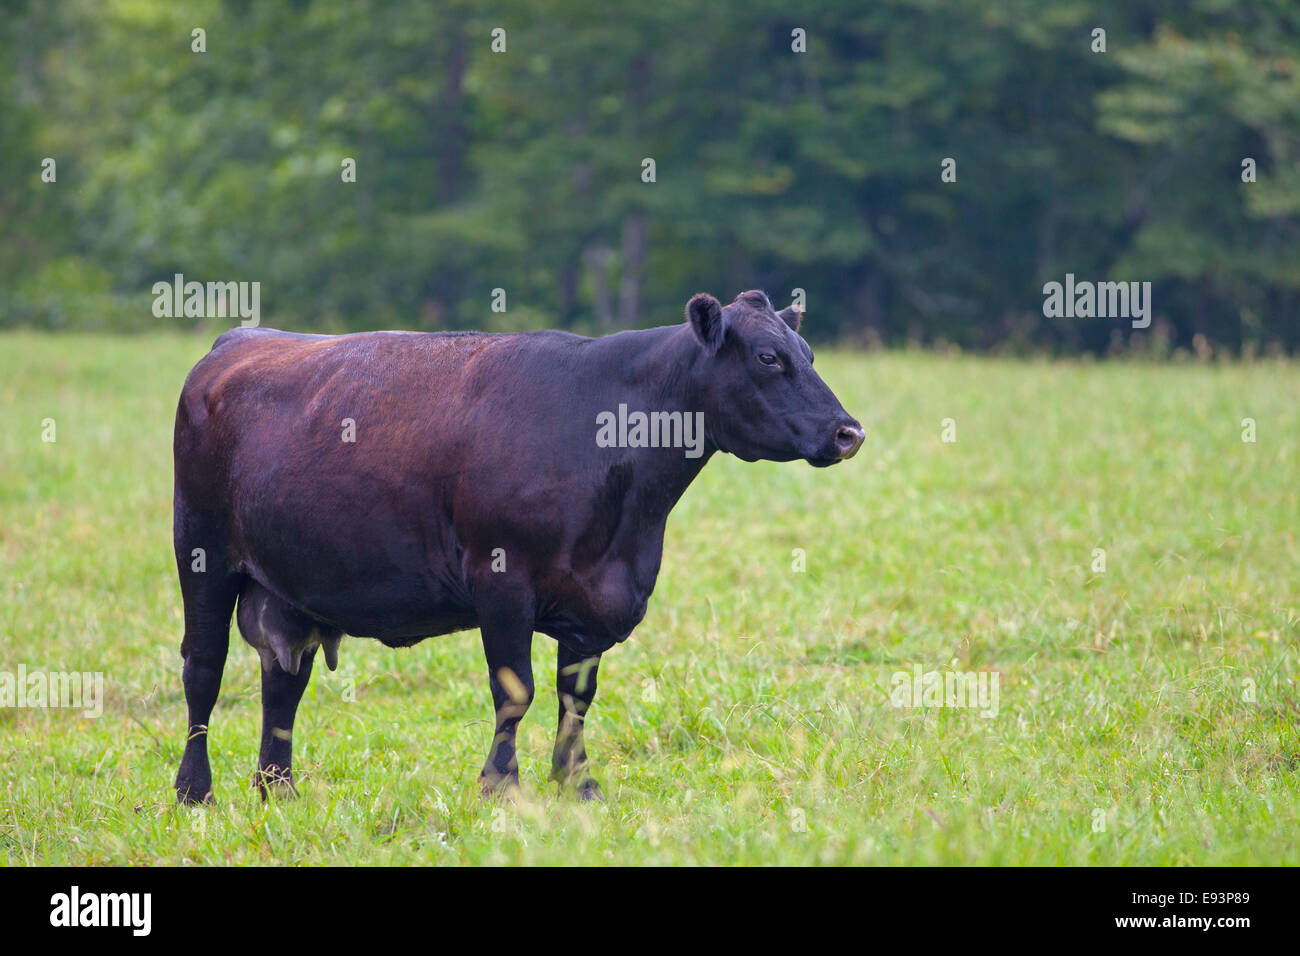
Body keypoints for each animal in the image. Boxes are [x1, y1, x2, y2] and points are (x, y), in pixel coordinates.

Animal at [172, 287, 863, 806]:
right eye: (769, 358)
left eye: (807, 352)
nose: (848, 431)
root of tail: (236, 343)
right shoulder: (502, 580)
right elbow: (515, 689)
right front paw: (500, 786)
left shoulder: (595, 598)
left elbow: (574, 696)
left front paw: (577, 784)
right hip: (201, 551)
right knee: (203, 669)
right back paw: (194, 791)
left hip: (291, 583)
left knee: (282, 681)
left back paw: (278, 788)